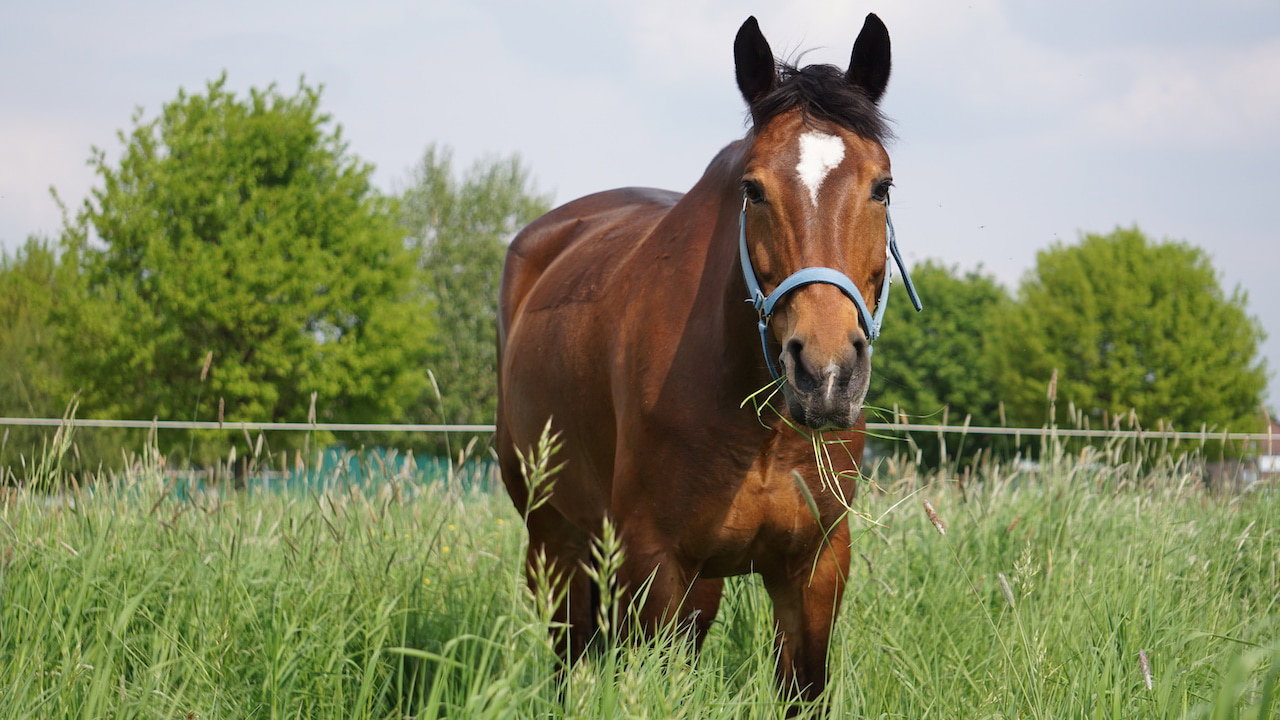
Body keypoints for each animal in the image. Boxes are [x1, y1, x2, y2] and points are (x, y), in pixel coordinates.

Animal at [496, 13, 919, 703]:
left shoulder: (814, 565)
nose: (825, 374)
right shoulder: (655, 567)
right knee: (568, 656)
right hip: (554, 539)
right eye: (753, 188)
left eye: (881, 186)